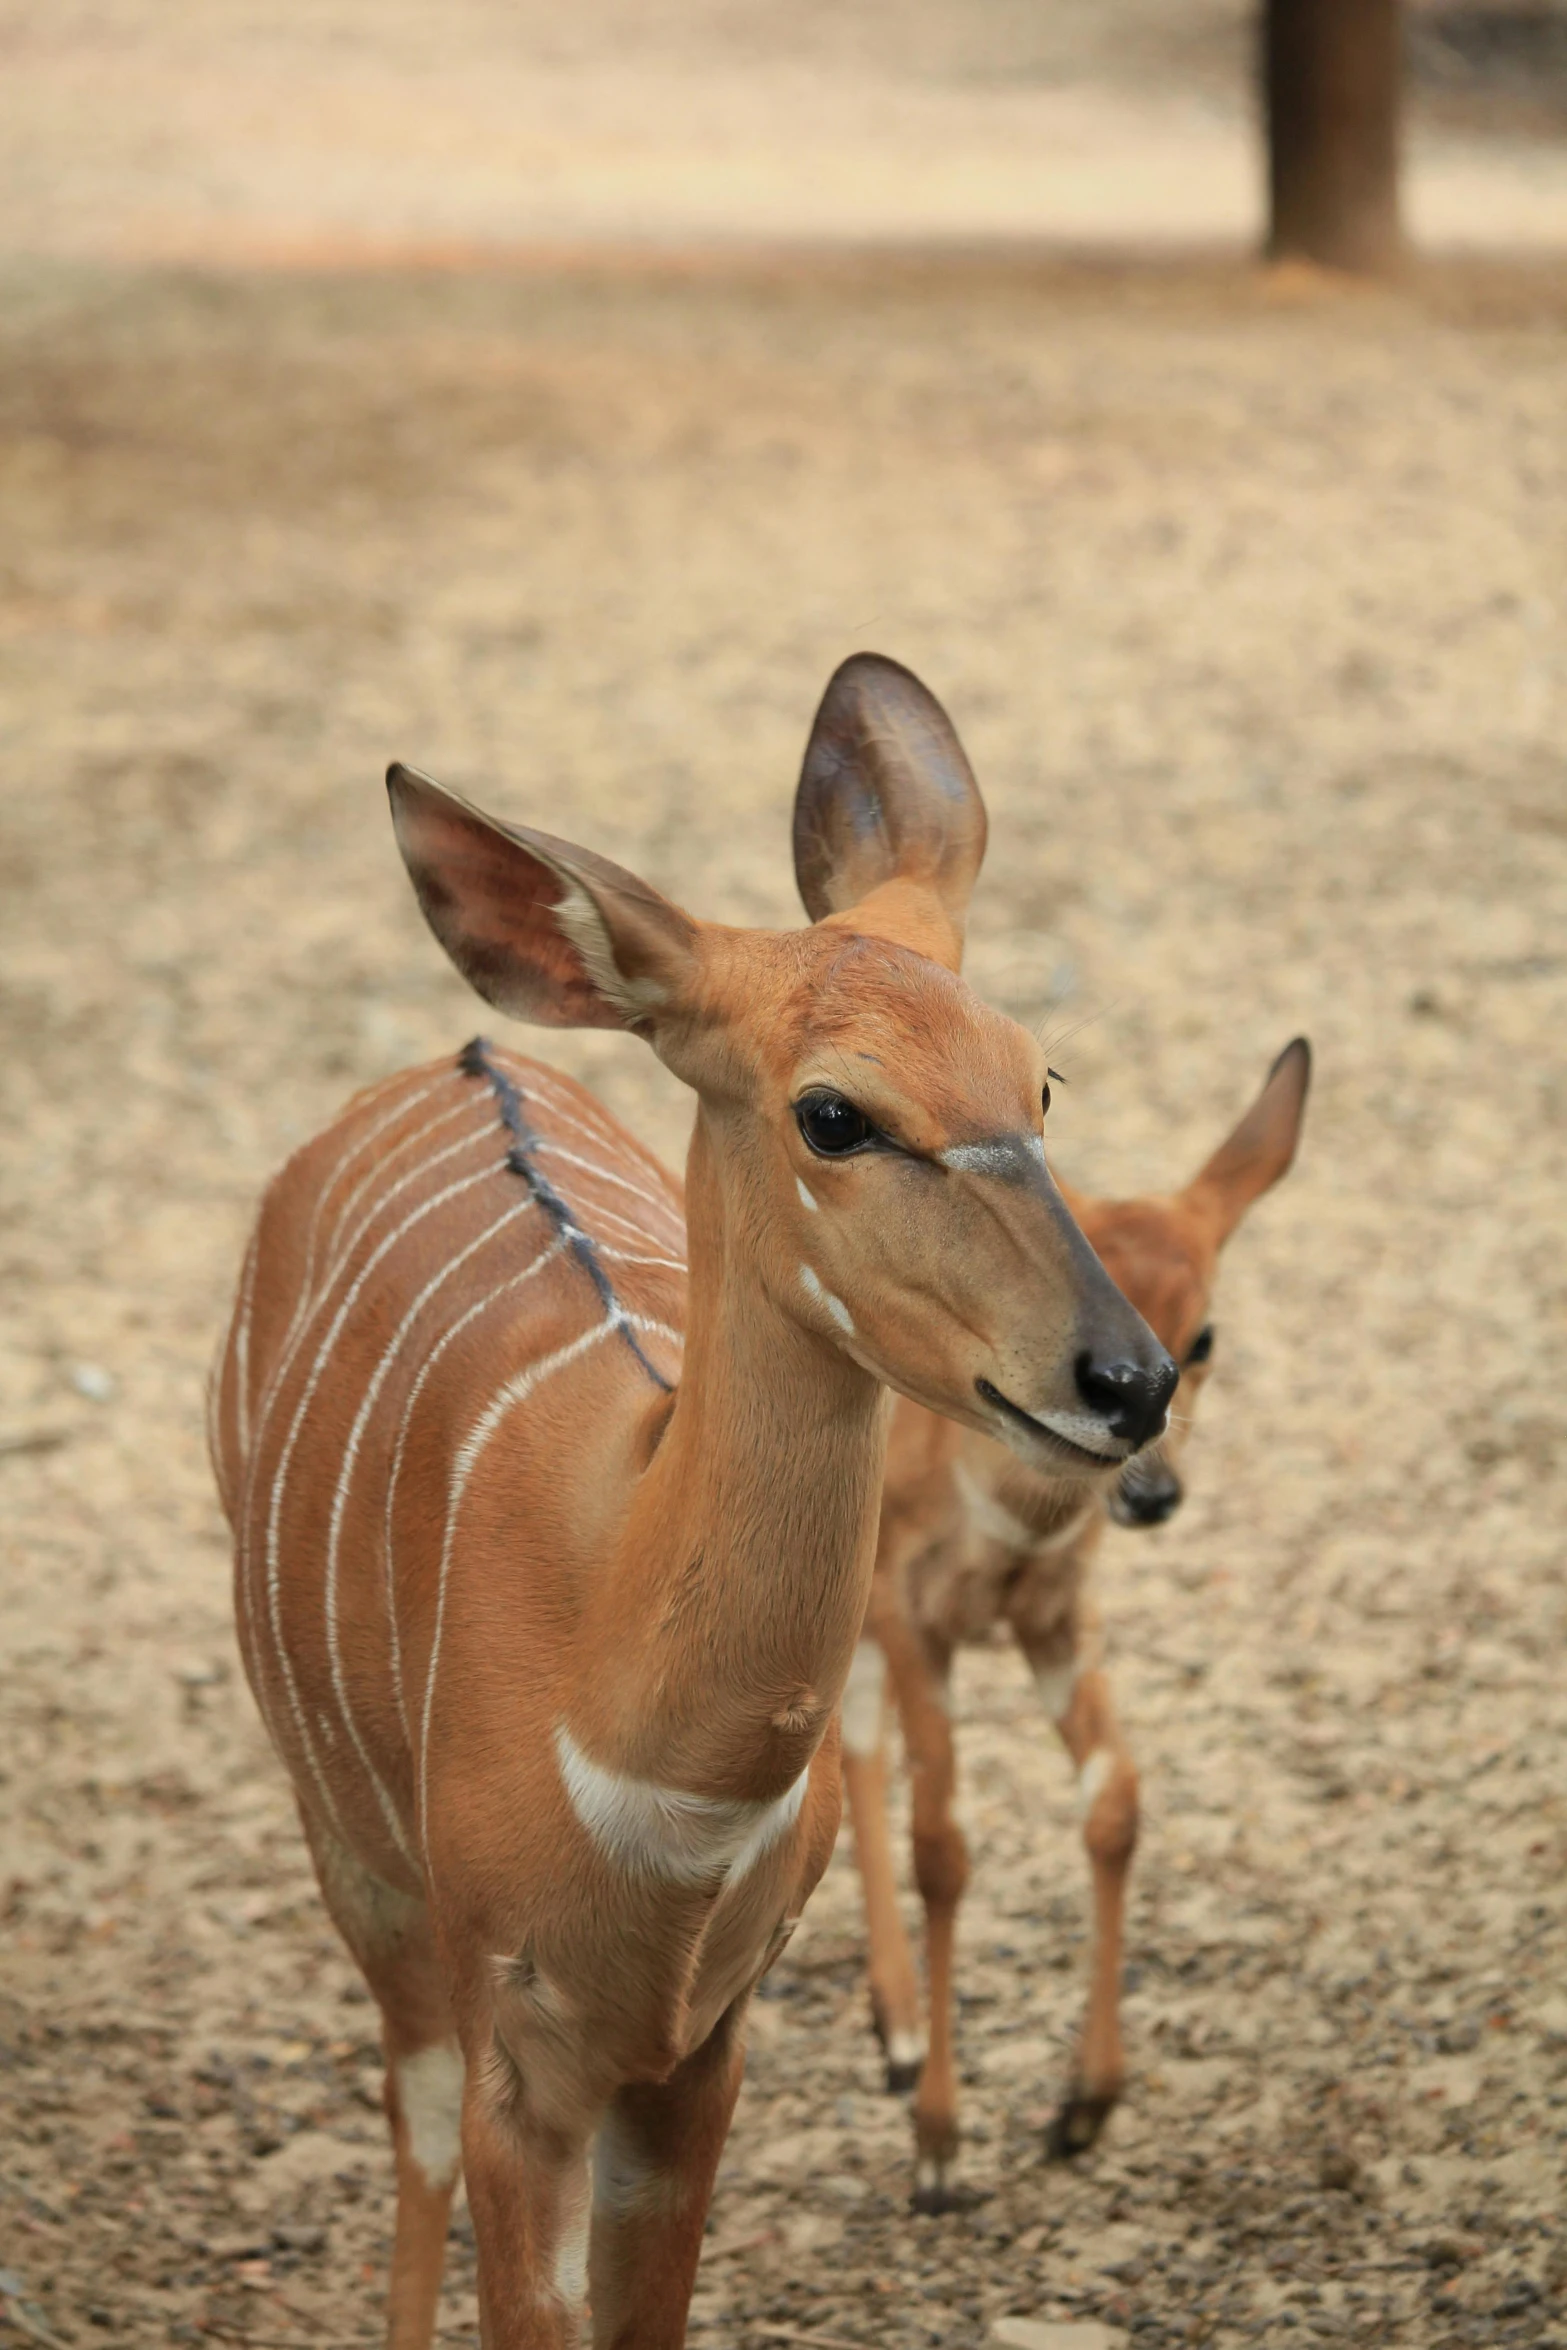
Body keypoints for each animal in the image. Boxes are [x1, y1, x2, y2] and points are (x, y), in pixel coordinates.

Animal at [207, 658, 1174, 2350]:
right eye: (834, 1114)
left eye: (1037, 1077)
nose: (1125, 1377)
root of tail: (461, 1053)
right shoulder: (519, 2048)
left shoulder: (697, 2047)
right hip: (358, 1862)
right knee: (404, 2115)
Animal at [845, 1043, 1315, 2199]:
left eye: (1202, 1332)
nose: (1150, 1492)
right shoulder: (911, 1611)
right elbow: (942, 1844)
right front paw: (938, 2145)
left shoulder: (1057, 1617)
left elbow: (1116, 1801)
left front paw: (1084, 2107)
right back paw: (898, 2036)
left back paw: (897, 2030)